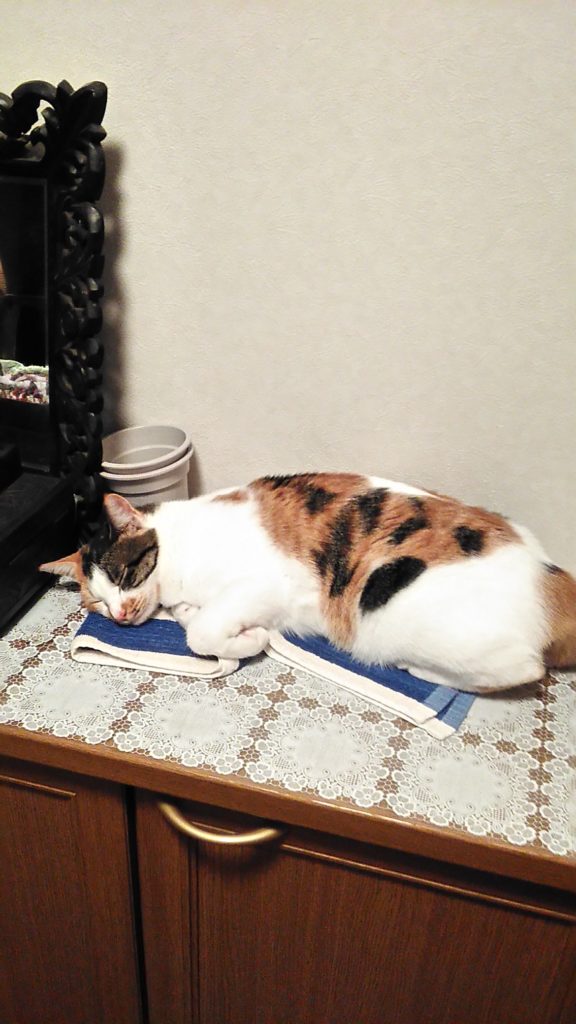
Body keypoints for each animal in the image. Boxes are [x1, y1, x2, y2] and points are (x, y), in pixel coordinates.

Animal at [40, 472, 576, 693]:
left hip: (401, 619)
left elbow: (202, 636)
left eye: (123, 574)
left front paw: (251, 640)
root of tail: (552, 578)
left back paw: (423, 672)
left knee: (524, 669)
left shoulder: (264, 585)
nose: (120, 616)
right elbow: (196, 623)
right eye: (98, 603)